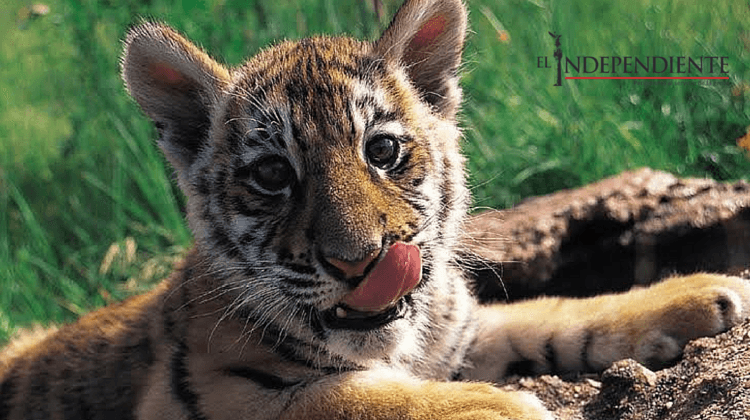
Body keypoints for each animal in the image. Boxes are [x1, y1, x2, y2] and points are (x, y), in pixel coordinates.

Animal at [2, 0, 749, 418]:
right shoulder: (211, 391)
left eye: (383, 150)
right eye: (272, 175)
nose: (360, 262)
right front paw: (499, 407)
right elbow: (349, 396)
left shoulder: (462, 332)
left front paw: (703, 294)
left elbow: (556, 313)